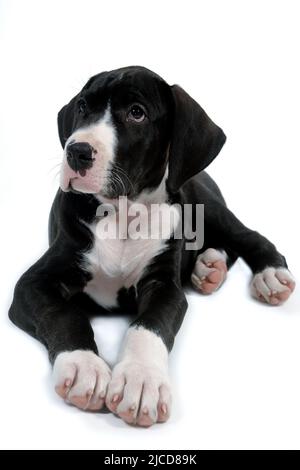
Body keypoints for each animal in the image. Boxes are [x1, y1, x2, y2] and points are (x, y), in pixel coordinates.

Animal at [9, 65, 296, 426]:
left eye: (137, 113)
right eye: (83, 107)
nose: (76, 151)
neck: (122, 214)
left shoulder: (164, 287)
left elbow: (148, 326)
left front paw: (140, 379)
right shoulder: (33, 283)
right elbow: (63, 314)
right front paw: (84, 365)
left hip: (208, 206)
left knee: (247, 236)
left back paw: (269, 274)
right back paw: (209, 266)